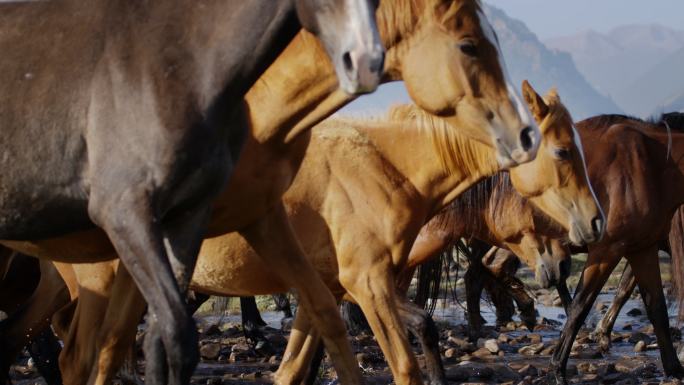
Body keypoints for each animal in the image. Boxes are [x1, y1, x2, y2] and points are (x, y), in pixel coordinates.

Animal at [68, 82, 600, 384]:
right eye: (562, 151)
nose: (593, 225)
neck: (382, 168)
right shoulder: (369, 286)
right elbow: (405, 361)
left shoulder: (323, 292)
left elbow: (294, 370)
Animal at [548, 112, 684, 382]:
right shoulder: (607, 249)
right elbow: (581, 306)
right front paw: (559, 368)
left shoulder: (643, 247)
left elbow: (655, 307)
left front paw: (674, 369)